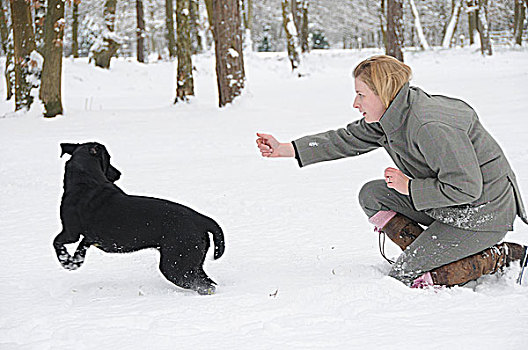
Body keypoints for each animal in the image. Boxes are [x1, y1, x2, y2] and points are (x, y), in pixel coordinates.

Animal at [53, 142, 225, 296]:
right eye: (108, 159)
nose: (118, 173)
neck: (86, 181)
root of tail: (201, 219)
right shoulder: (88, 237)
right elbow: (81, 246)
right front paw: (75, 261)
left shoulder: (71, 233)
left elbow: (56, 242)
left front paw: (66, 261)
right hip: (190, 262)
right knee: (207, 282)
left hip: (176, 264)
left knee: (204, 285)